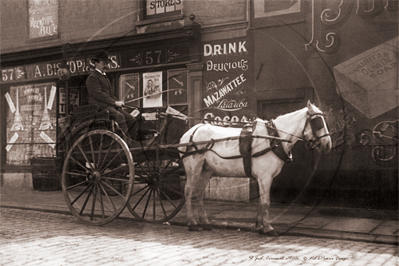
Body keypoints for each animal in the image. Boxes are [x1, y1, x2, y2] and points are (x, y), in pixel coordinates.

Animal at [180, 100, 332, 235]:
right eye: (318, 122)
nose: (328, 144)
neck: (274, 139)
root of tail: (190, 132)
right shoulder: (265, 177)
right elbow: (266, 202)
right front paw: (268, 228)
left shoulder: (263, 178)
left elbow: (261, 201)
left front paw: (259, 226)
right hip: (193, 168)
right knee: (188, 191)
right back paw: (192, 223)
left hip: (205, 170)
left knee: (199, 193)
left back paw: (205, 223)